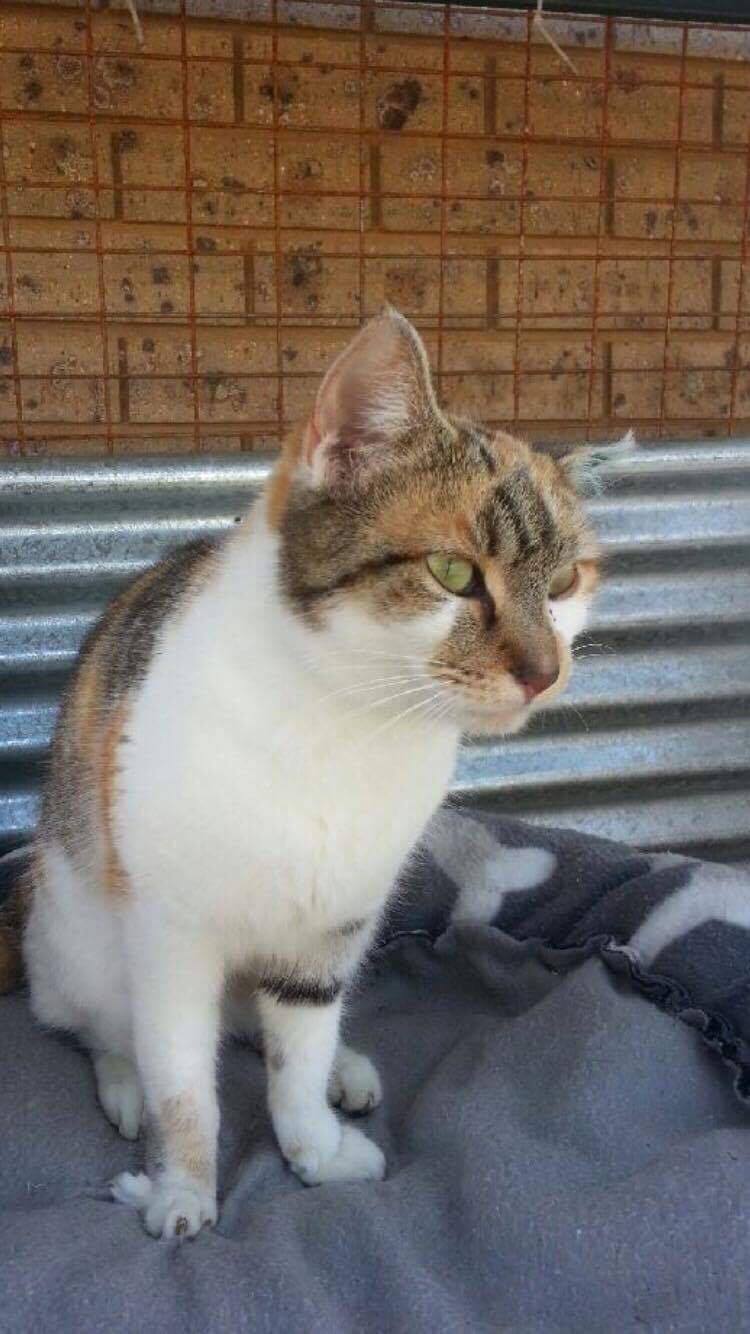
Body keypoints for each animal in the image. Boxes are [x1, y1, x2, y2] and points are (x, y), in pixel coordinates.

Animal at [0, 309, 631, 1239]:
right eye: (453, 573)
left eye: (562, 583)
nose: (545, 671)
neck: (347, 723)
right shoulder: (170, 935)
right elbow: (182, 1081)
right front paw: (182, 1187)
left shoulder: (331, 924)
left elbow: (295, 1052)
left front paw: (314, 1149)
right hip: (73, 934)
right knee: (95, 1023)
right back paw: (122, 1084)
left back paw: (340, 1068)